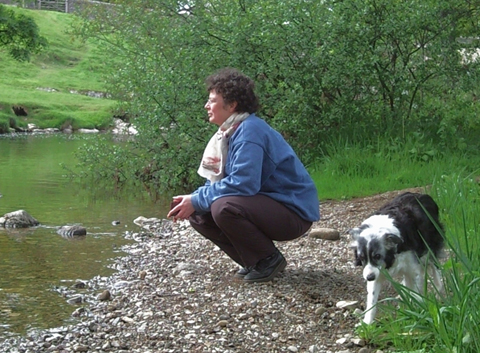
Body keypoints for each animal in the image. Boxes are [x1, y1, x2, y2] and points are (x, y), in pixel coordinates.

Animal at [348, 192, 446, 322]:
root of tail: (422, 194)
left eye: (378, 256)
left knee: (434, 267)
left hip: (429, 248)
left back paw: (438, 289)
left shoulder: (413, 268)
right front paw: (367, 323)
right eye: (362, 258)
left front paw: (417, 312)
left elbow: (416, 292)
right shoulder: (376, 272)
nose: (369, 277)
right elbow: (372, 301)